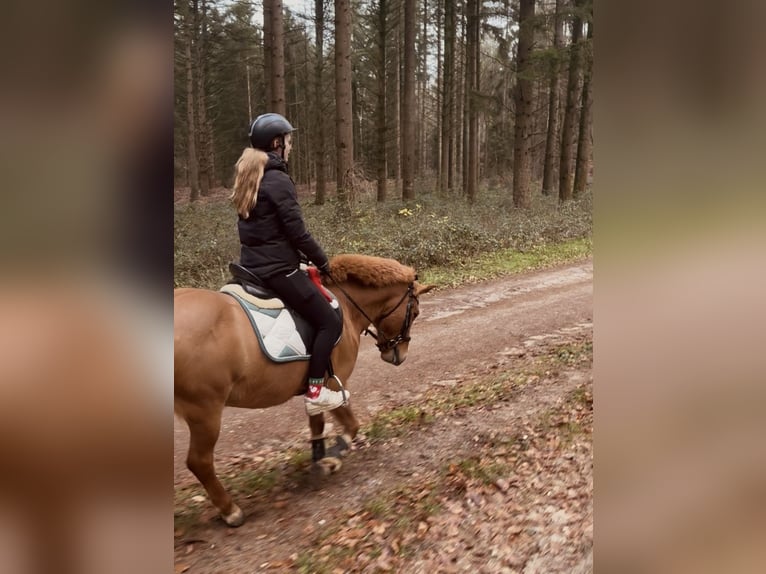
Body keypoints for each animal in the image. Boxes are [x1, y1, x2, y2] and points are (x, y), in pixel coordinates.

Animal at [174, 254, 434, 526]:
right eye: (415, 312)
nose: (398, 355)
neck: (345, 304)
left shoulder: (316, 386)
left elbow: (316, 422)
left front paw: (319, 458)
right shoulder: (335, 381)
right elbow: (351, 425)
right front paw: (333, 457)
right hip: (204, 411)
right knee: (199, 462)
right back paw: (230, 510)